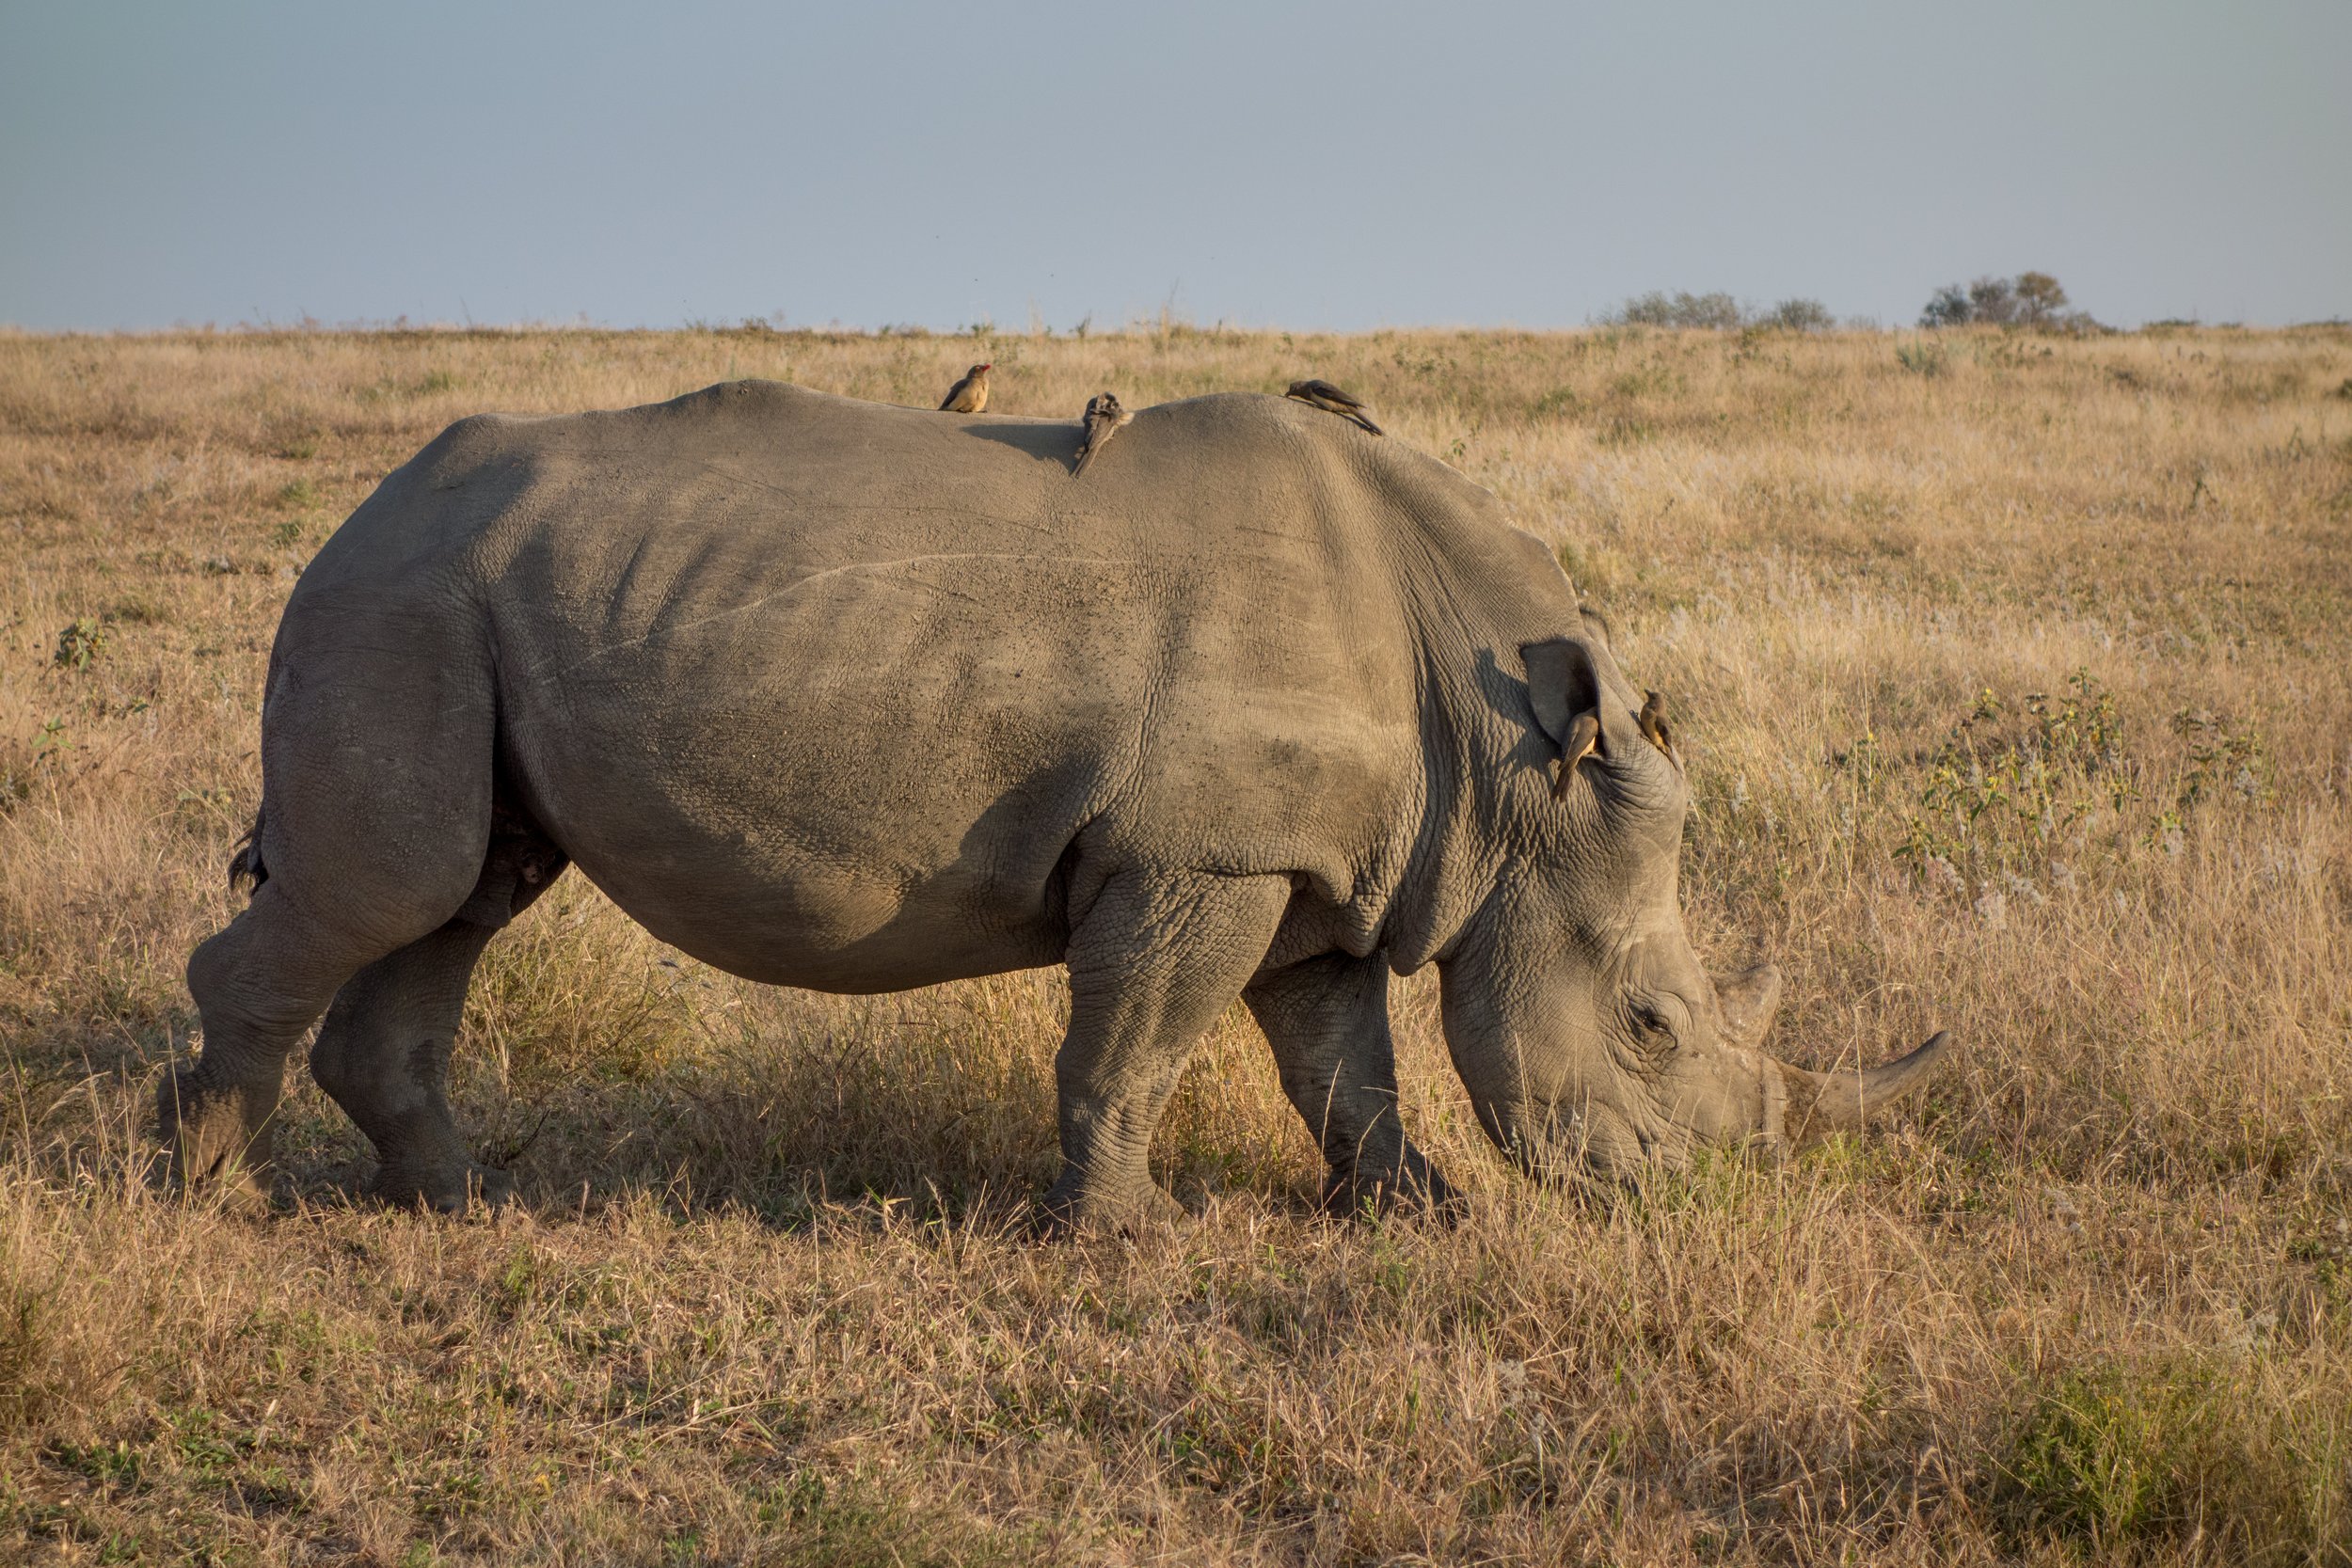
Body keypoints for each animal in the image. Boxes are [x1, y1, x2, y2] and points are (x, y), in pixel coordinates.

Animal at [162, 381, 1946, 1225]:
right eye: (1650, 1022)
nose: (1683, 1197)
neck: (1509, 759)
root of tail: (358, 509)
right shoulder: (1200, 850)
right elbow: (1137, 1045)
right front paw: (1117, 1239)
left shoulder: (1313, 862)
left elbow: (1340, 1061)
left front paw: (1413, 1211)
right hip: (395, 599)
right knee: (384, 892)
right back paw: (204, 1195)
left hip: (458, 596)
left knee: (453, 896)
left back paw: (457, 1204)